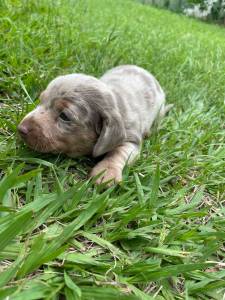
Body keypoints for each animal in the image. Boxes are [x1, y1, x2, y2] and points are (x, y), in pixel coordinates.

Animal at [18, 64, 172, 184]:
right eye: (40, 100)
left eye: (64, 116)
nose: (21, 129)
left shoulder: (131, 138)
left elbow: (118, 151)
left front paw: (106, 172)